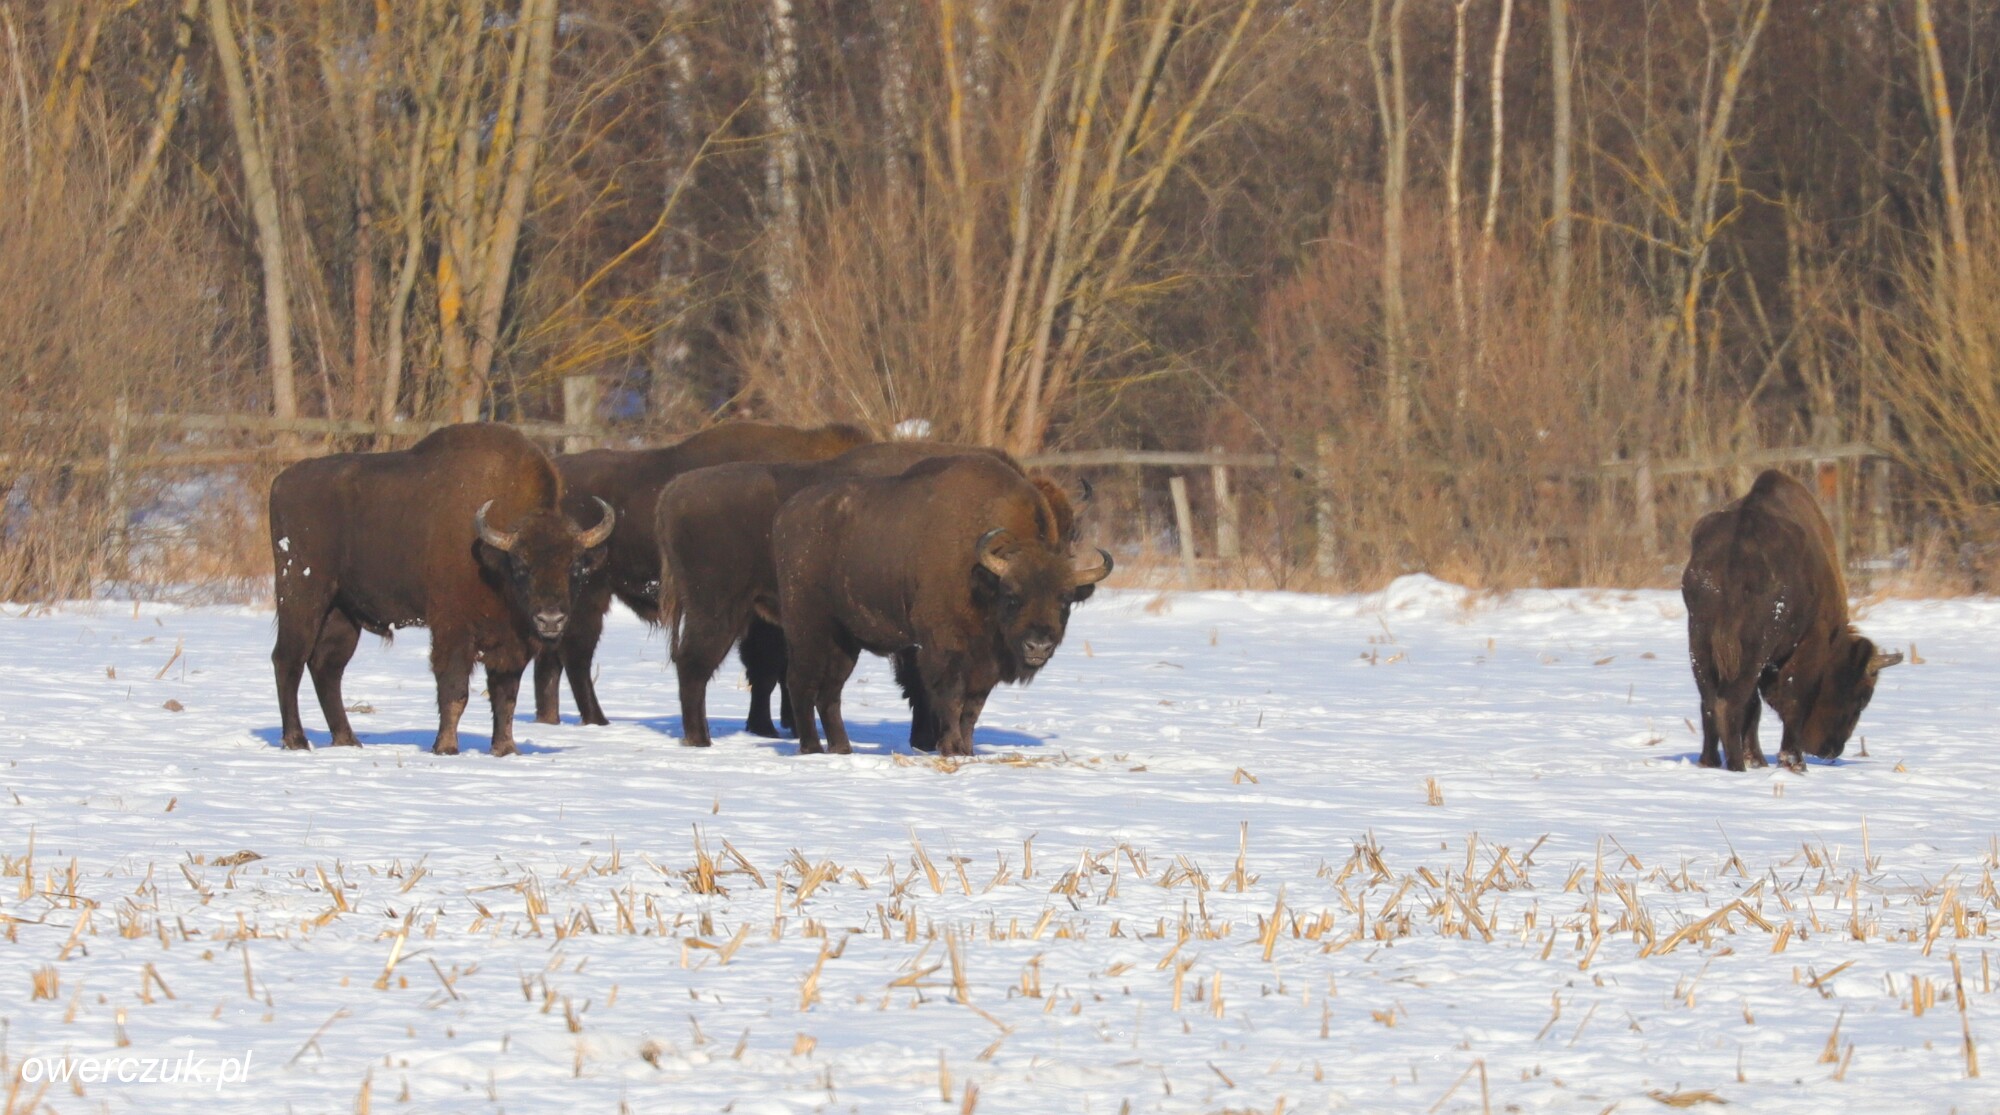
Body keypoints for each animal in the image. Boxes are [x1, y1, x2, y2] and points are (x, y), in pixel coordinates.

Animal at [268, 423, 614, 756]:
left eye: (575, 567)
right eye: (521, 566)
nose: (551, 620)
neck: (493, 560)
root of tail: (281, 482)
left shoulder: (511, 646)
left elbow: (506, 697)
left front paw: (505, 749)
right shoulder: (453, 629)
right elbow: (455, 690)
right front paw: (446, 747)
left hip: (342, 613)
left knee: (326, 668)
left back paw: (347, 740)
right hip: (303, 596)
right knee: (289, 660)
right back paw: (296, 741)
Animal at [535, 420, 871, 726]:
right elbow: (767, 668)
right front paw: (765, 727)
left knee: (551, 658)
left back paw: (550, 719)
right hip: (588, 595)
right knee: (575, 654)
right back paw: (598, 720)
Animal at [772, 454, 1111, 757]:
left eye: (1064, 601)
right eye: (1012, 596)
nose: (1038, 646)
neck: (984, 577)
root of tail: (787, 515)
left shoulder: (985, 666)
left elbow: (972, 709)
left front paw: (968, 750)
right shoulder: (945, 650)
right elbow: (951, 699)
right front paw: (951, 748)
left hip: (845, 642)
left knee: (830, 692)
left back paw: (842, 749)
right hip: (808, 631)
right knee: (800, 683)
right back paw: (812, 748)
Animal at [1682, 468, 1901, 772]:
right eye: (1862, 695)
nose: (1830, 750)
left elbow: (1756, 707)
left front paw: (1759, 760)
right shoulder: (1809, 642)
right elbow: (1795, 699)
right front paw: (1793, 763)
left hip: (1699, 643)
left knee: (1710, 702)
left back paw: (1709, 762)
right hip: (1749, 651)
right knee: (1729, 703)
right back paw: (1736, 767)